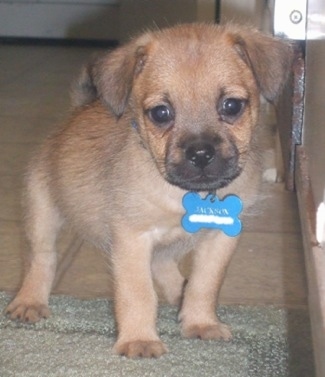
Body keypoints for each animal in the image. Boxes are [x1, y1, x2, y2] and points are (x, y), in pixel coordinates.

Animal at [5, 24, 292, 358]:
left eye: (232, 106)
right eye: (161, 113)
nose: (200, 153)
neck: (185, 196)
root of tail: (76, 113)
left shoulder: (219, 240)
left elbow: (205, 284)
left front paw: (200, 322)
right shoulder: (133, 239)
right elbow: (138, 293)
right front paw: (139, 339)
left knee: (164, 265)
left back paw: (179, 296)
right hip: (42, 214)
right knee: (41, 259)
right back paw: (30, 301)